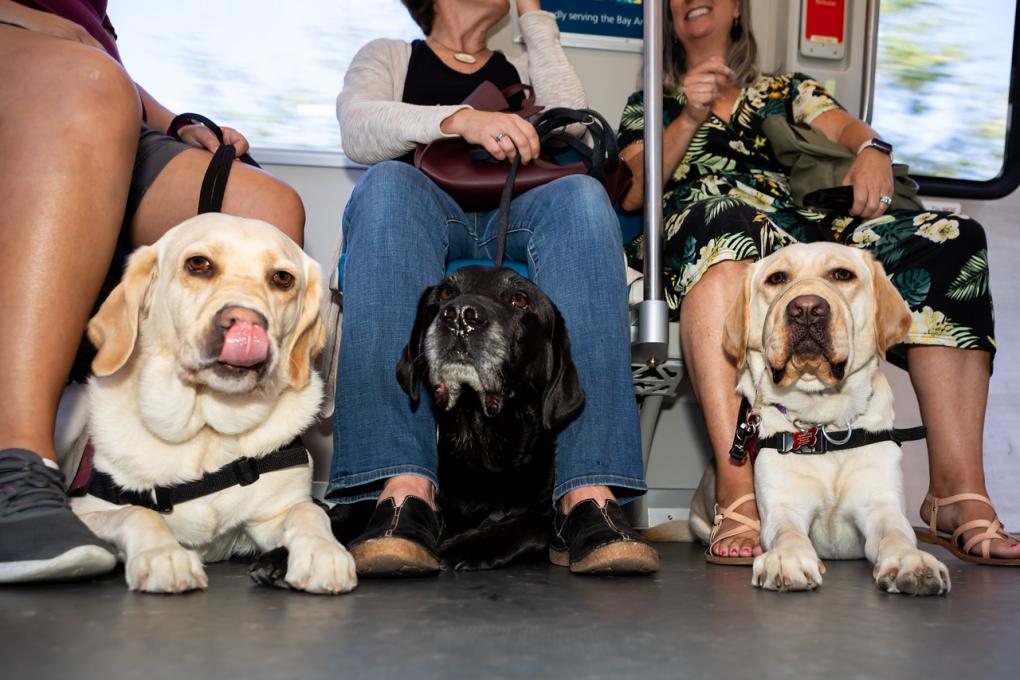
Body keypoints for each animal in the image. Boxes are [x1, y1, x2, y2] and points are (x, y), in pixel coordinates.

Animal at [70, 215, 354, 591]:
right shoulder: (85, 510)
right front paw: (163, 555)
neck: (208, 431)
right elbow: (137, 511)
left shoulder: (274, 512)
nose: (246, 323)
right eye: (198, 264)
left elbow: (309, 511)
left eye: (282, 278)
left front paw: (322, 551)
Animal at [399, 265, 591, 570]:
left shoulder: (548, 518)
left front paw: (461, 547)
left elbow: (522, 526)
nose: (460, 315)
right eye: (446, 292)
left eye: (519, 299)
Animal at [689, 243, 950, 595]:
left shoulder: (881, 505)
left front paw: (912, 561)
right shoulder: (783, 506)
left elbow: (897, 535)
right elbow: (787, 533)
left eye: (842, 274)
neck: (824, 425)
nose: (807, 309)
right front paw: (786, 558)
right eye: (777, 278)